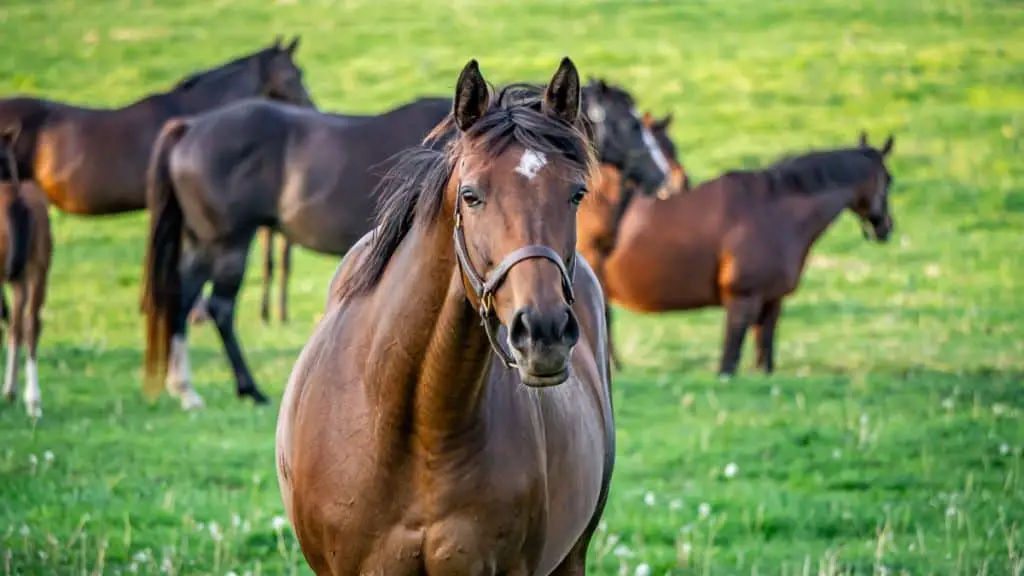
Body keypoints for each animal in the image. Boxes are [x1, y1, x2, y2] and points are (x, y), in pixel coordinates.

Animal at [589, 133, 892, 377]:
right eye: (889, 180)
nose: (886, 228)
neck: (772, 212)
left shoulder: (772, 301)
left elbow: (764, 358)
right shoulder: (742, 300)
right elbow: (729, 363)